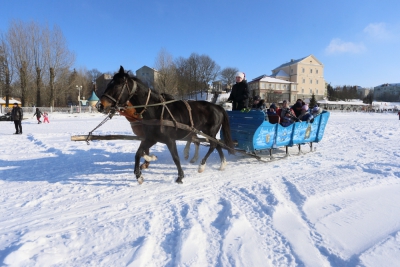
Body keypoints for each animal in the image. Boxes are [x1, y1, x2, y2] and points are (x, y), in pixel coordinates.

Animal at [97, 66, 234, 185]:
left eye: (118, 84)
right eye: (109, 84)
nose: (100, 105)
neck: (155, 110)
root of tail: (218, 107)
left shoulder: (169, 140)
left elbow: (175, 158)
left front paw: (180, 177)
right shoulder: (151, 138)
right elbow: (138, 153)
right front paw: (139, 175)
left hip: (209, 131)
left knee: (213, 145)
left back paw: (202, 165)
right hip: (208, 133)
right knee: (216, 145)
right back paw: (222, 164)